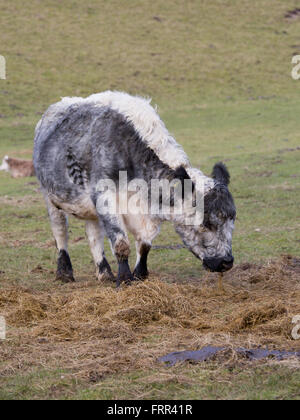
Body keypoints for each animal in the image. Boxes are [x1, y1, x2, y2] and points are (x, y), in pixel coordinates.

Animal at [32, 92, 234, 288]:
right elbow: (121, 243)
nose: (226, 262)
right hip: (50, 197)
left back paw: (105, 273)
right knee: (60, 231)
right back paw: (64, 272)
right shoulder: (105, 198)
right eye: (204, 223)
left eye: (232, 219)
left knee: (93, 234)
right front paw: (124, 279)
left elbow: (145, 244)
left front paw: (139, 275)